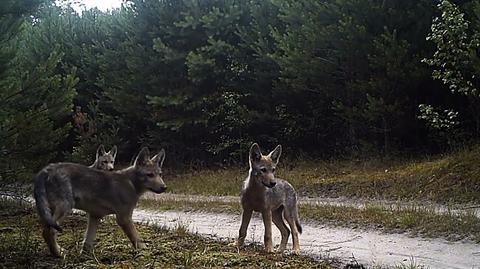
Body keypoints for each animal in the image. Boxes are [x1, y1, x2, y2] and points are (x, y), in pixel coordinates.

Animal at [32, 147, 166, 255]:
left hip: (50, 210)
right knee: (49, 231)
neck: (131, 183)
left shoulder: (95, 216)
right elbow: (137, 239)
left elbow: (87, 241)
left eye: (160, 174)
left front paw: (85, 256)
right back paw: (59, 254)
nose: (164, 187)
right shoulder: (124, 218)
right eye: (150, 175)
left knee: (46, 230)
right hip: (65, 207)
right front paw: (146, 252)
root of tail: (47, 169)